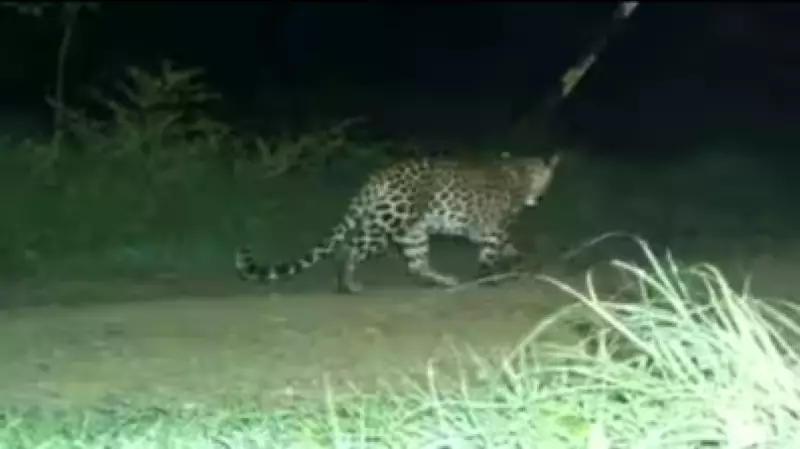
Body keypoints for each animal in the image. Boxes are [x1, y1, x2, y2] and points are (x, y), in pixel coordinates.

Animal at [235, 152, 561, 294]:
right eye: (538, 179)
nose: (537, 197)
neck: (516, 178)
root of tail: (379, 175)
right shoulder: (493, 229)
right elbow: (492, 253)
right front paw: (490, 277)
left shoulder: (484, 231)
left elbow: (509, 248)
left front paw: (516, 264)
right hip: (390, 221)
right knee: (349, 247)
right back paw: (348, 285)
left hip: (412, 231)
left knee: (416, 264)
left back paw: (444, 280)